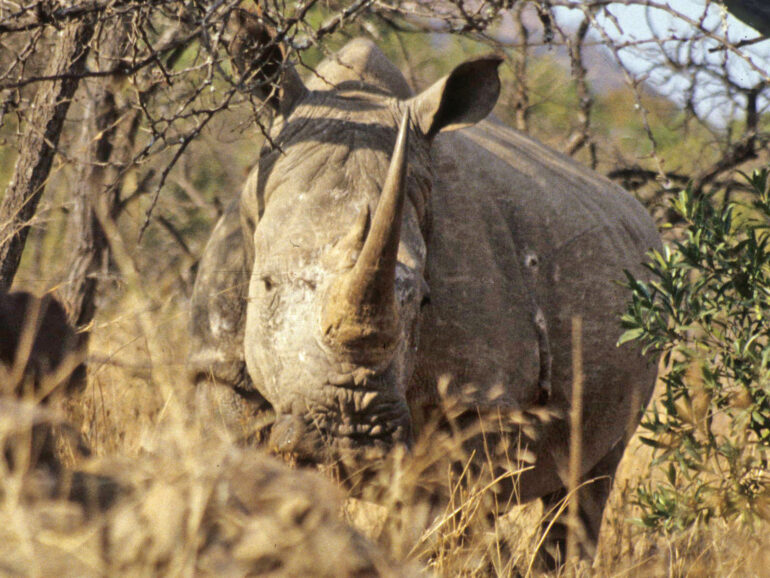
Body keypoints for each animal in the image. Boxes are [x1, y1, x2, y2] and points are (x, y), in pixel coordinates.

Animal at [190, 11, 660, 550]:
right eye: (265, 284)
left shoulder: (478, 401)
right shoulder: (217, 366)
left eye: (424, 302)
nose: (354, 437)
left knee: (586, 484)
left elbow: (429, 524)